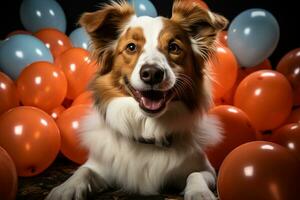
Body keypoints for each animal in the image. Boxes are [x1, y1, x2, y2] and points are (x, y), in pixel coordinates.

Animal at [45, 0, 226, 199]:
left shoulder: (207, 169)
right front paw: (64, 189)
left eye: (173, 47)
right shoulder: (100, 165)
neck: (147, 130)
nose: (152, 73)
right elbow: (83, 171)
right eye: (131, 47)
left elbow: (195, 175)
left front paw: (200, 193)